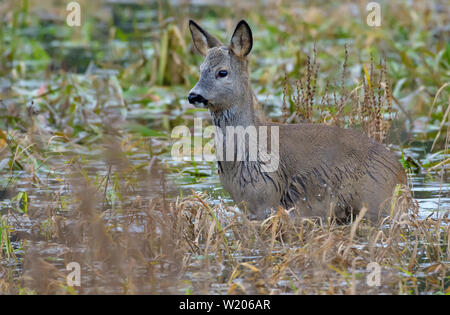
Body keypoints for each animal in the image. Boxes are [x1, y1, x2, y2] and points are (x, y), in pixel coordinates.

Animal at [186, 19, 408, 223]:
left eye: (222, 72)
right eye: (200, 69)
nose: (193, 95)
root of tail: (401, 175)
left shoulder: (266, 195)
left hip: (376, 199)